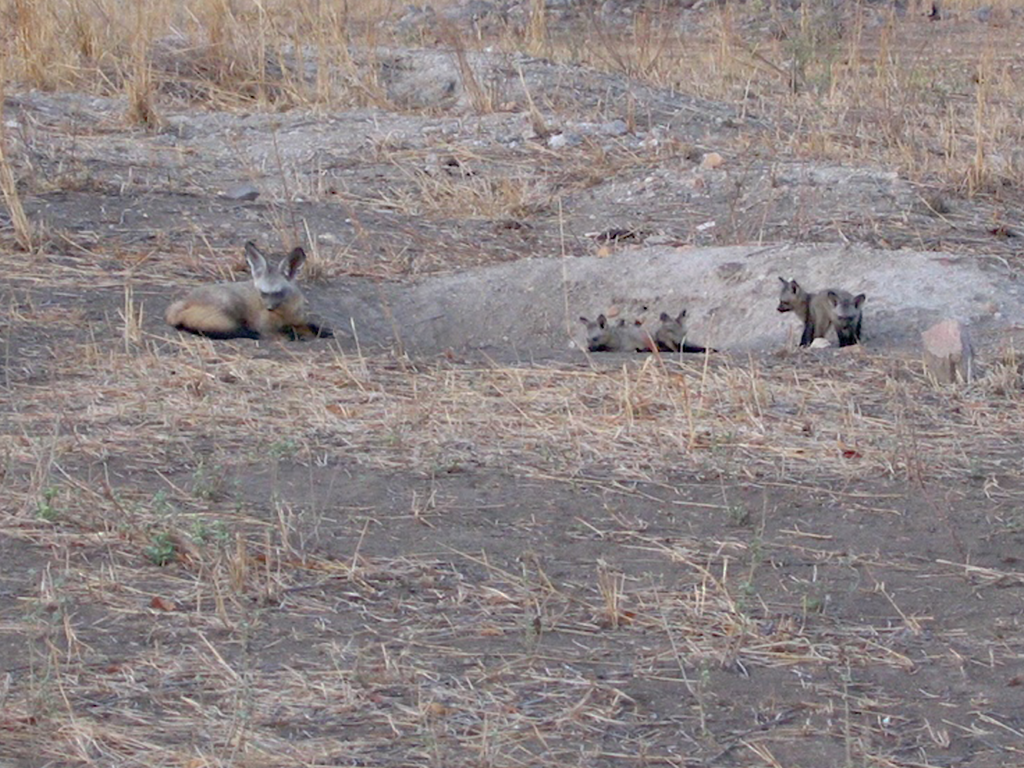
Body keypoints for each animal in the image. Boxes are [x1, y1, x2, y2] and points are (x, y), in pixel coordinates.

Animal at [166, 242, 331, 340]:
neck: (284, 313)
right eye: (263, 293)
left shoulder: (297, 320)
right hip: (228, 311)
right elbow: (283, 334)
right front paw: (295, 335)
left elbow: (311, 327)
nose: (268, 308)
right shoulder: (266, 328)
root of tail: (183, 301)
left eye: (278, 292)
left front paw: (320, 331)